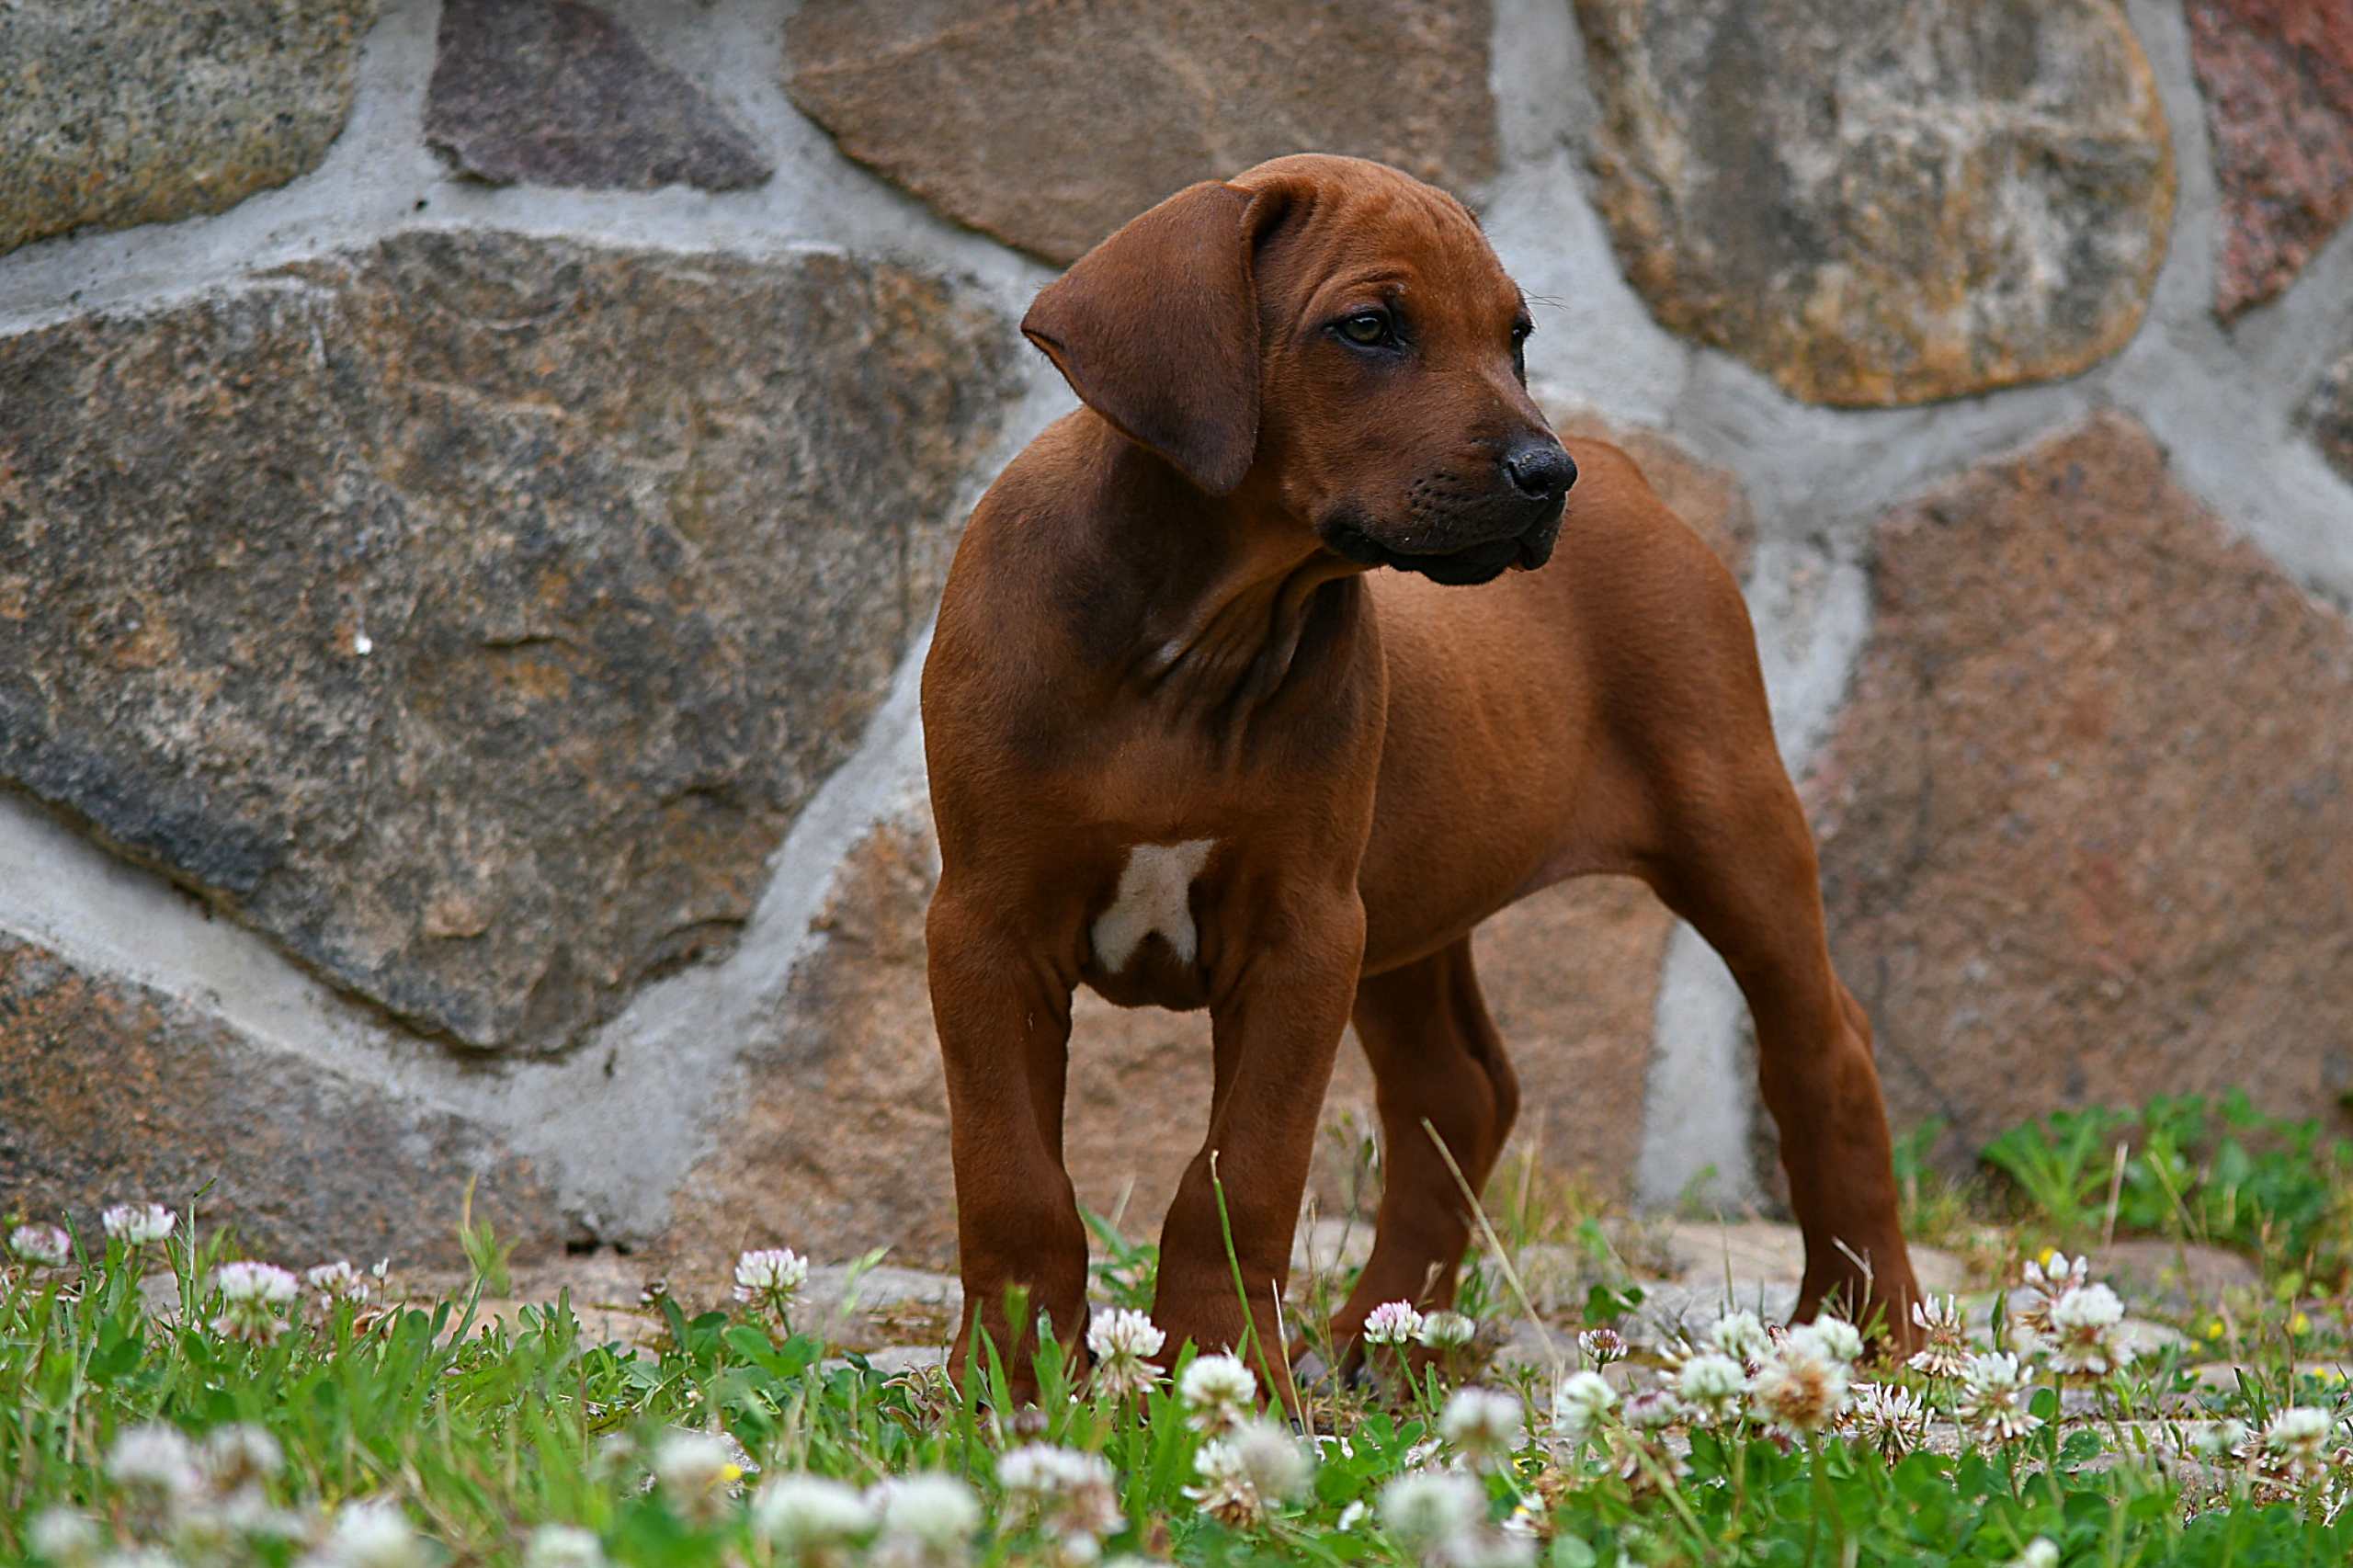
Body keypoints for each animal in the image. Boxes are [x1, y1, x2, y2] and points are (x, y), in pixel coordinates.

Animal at [921, 154, 1922, 1406]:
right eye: (1369, 327)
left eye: (1515, 336)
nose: (1548, 473)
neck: (1191, 634)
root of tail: (1637, 478)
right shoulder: (986, 928)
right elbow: (1011, 1179)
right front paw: (1001, 1387)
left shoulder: (1302, 934)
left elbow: (1239, 1177)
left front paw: (1221, 1378)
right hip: (1406, 905)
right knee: (1461, 1090)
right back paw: (1383, 1339)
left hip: (1728, 827)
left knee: (1826, 1052)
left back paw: (1872, 1321)